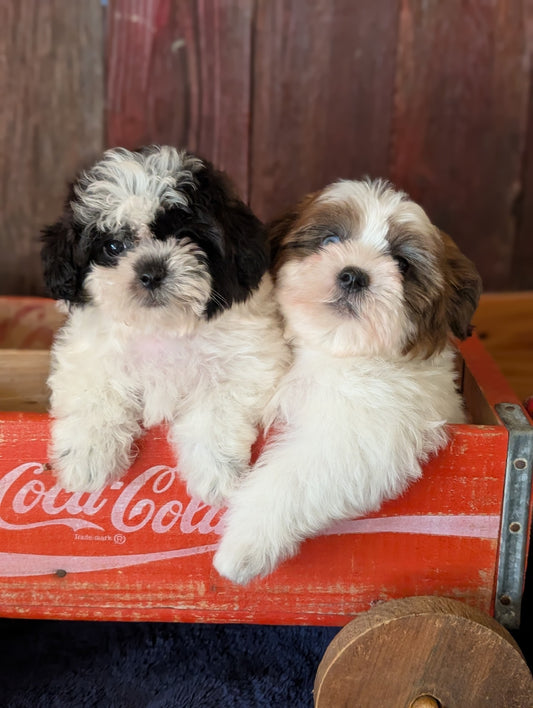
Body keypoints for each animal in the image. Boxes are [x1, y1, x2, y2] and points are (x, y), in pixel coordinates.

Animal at [42, 144, 286, 504]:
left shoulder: (247, 362)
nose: (151, 270)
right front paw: (87, 459)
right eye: (113, 246)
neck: (163, 327)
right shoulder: (88, 357)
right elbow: (94, 396)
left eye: (185, 236)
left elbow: (215, 411)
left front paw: (217, 473)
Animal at [213, 180, 482, 584]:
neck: (336, 349)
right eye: (330, 240)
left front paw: (245, 542)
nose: (354, 275)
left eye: (402, 264)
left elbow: (293, 477)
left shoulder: (360, 434)